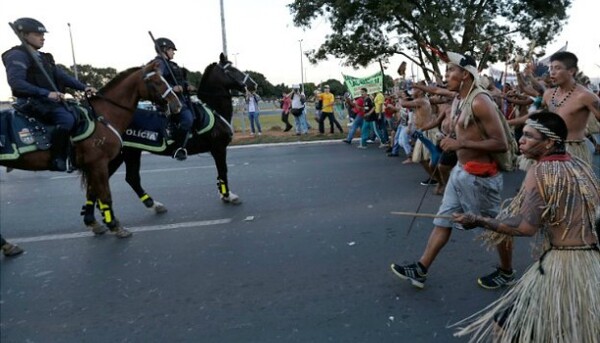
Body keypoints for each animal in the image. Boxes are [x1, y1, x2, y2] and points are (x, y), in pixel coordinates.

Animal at [1, 61, 182, 239]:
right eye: (157, 82)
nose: (177, 105)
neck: (103, 117)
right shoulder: (98, 163)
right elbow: (105, 195)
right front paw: (114, 225)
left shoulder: (93, 166)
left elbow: (92, 192)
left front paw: (94, 222)